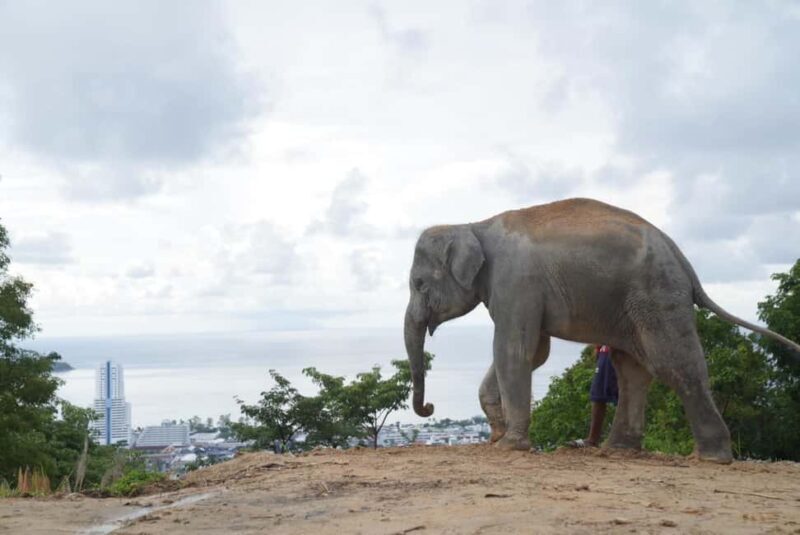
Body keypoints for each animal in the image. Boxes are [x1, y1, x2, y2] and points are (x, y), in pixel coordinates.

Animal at [403, 198, 800, 463]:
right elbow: (536, 352)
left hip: (656, 295)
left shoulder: (516, 281)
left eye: (419, 284)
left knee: (674, 364)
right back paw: (618, 449)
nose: (429, 408)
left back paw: (710, 458)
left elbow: (514, 349)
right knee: (633, 369)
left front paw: (509, 445)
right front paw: (498, 436)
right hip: (633, 305)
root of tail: (684, 261)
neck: (472, 225)